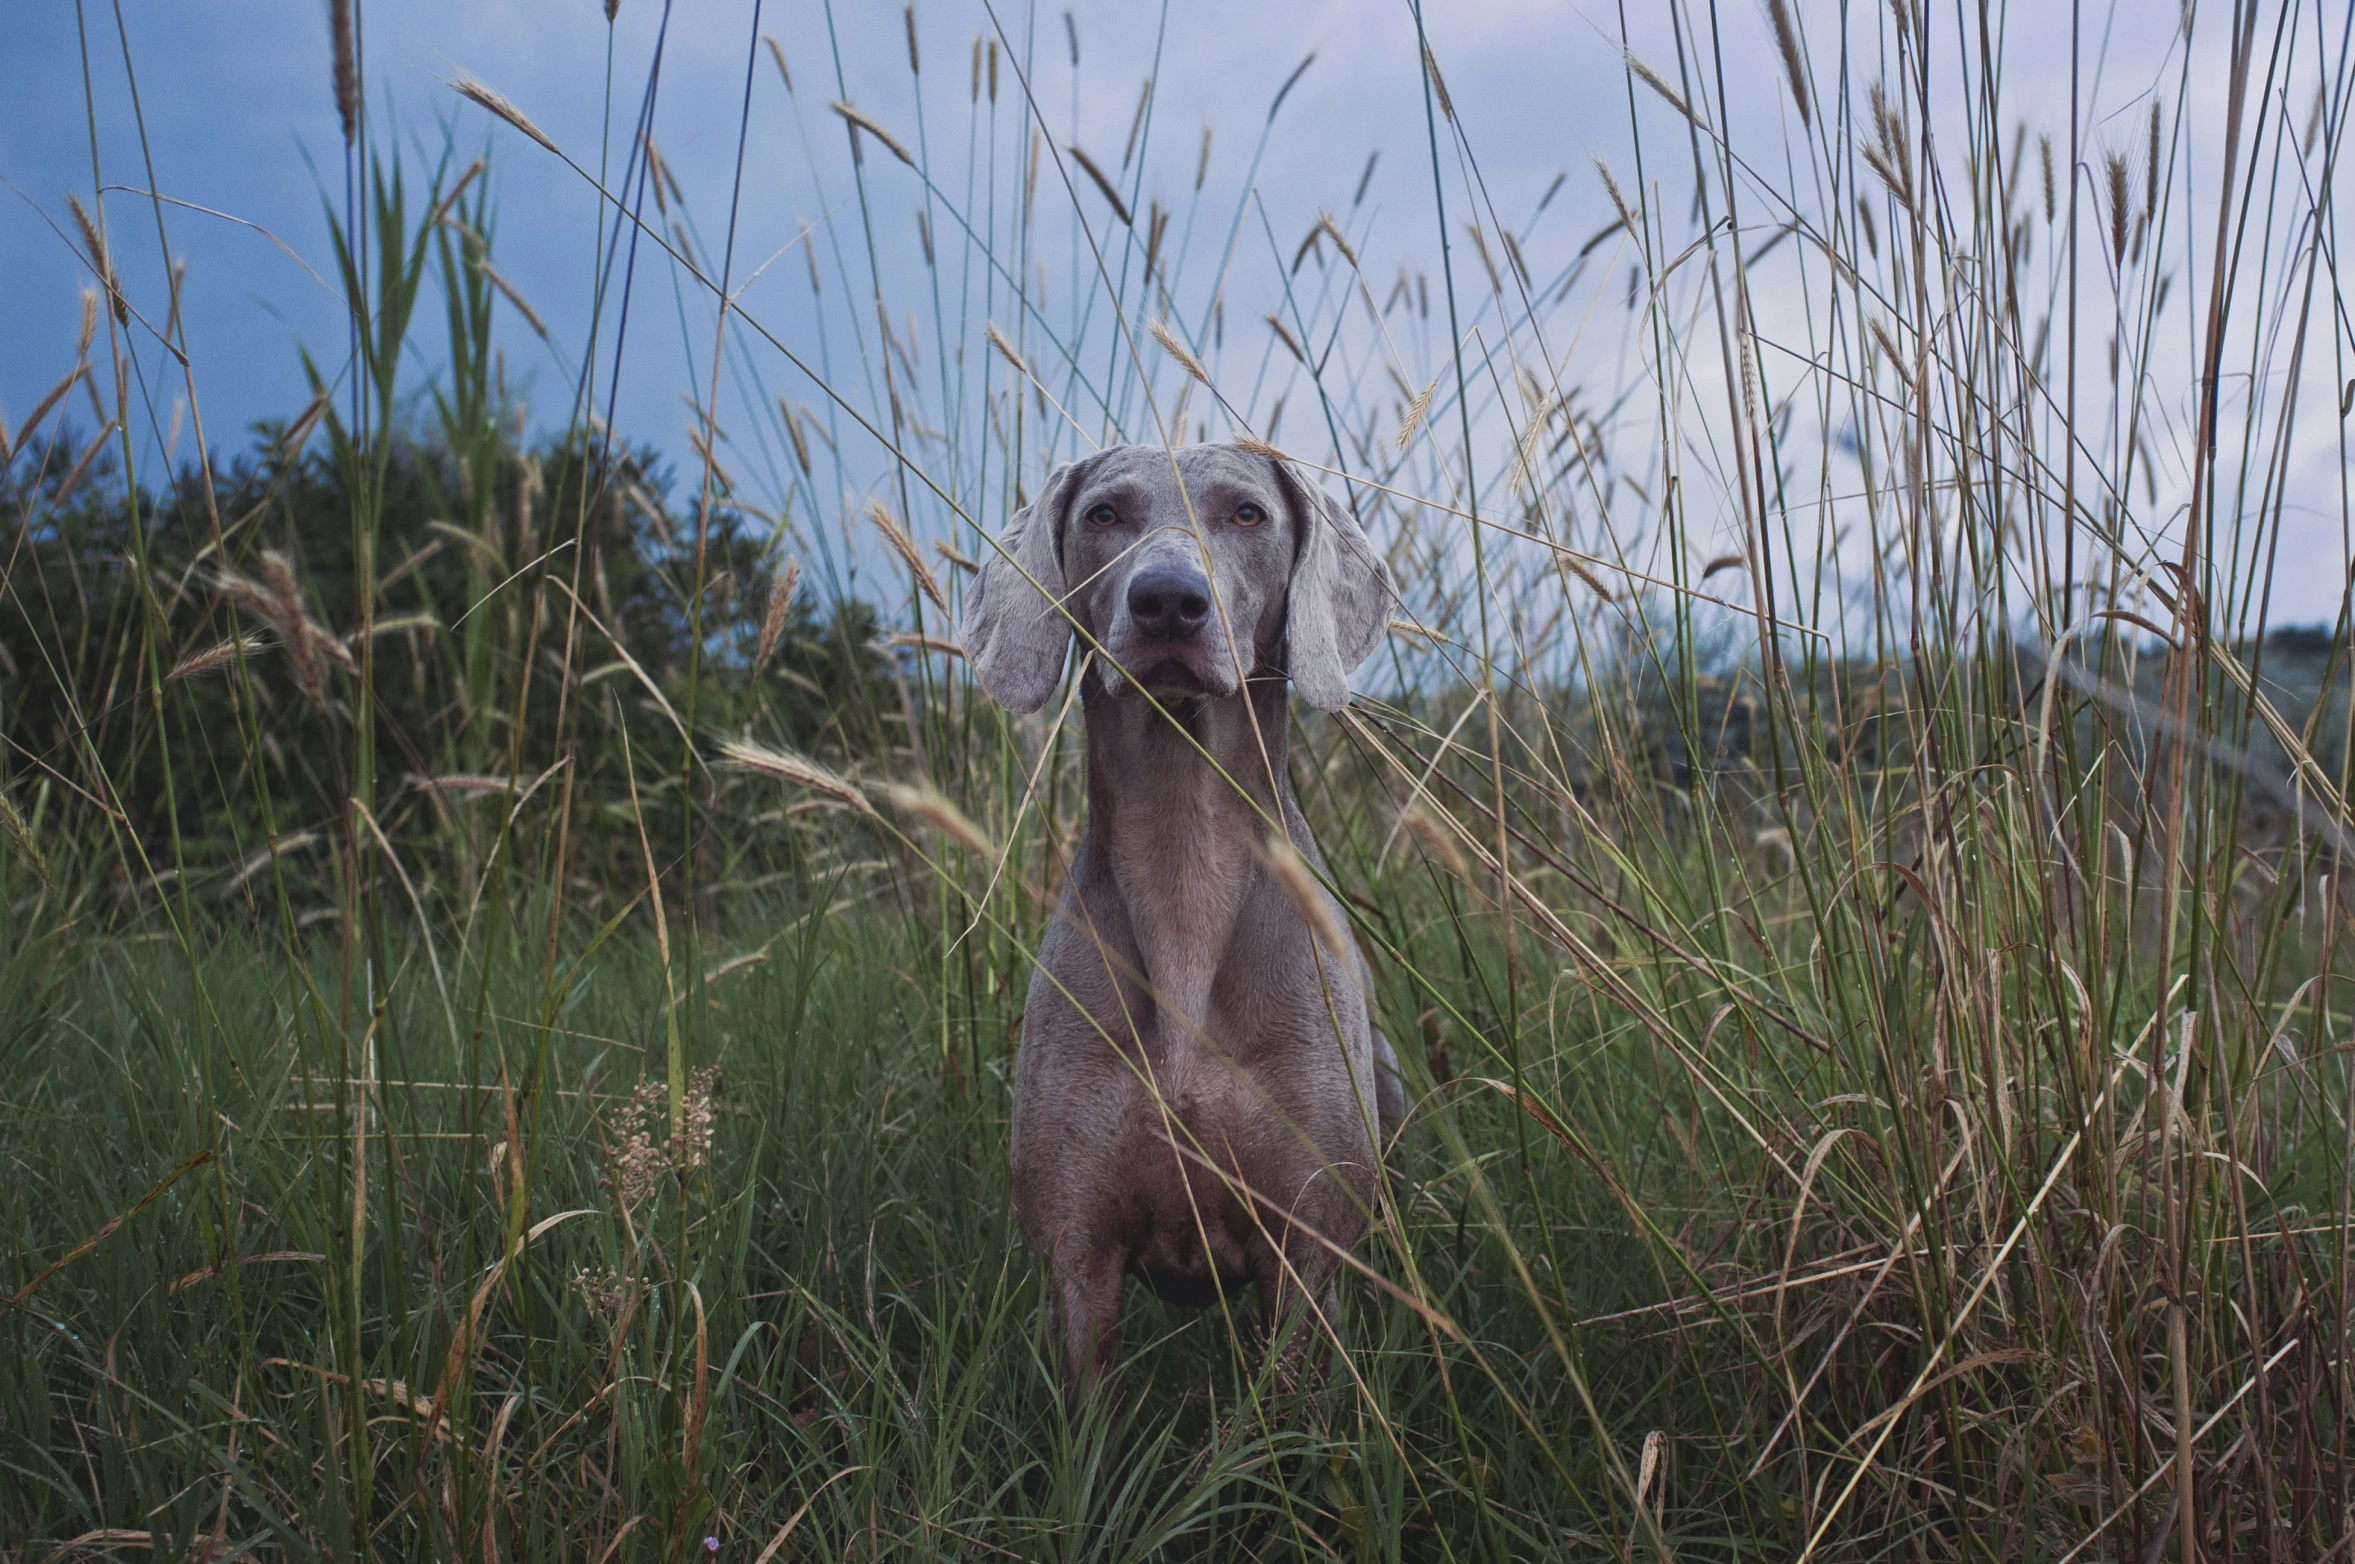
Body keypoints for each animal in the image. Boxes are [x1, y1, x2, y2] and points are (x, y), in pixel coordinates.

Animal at [956, 435, 1394, 1394]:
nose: (1166, 600)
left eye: (1246, 513)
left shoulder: (1305, 1252)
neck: (1182, 875)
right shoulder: (1077, 1255)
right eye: (1103, 514)